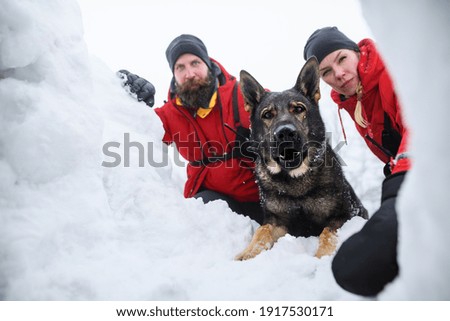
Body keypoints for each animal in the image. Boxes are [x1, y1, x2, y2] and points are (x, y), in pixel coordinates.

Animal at [236, 56, 366, 258]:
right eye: (267, 114)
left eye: (298, 109)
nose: (285, 133)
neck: (295, 181)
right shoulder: (276, 220)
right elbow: (261, 231)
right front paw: (248, 253)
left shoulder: (344, 215)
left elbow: (327, 233)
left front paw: (322, 257)